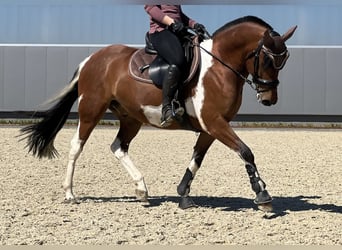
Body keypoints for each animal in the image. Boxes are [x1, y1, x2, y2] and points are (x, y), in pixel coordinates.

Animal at [20, 15, 296, 211]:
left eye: (284, 61)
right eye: (269, 60)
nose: (269, 99)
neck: (219, 65)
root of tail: (92, 59)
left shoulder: (212, 126)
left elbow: (197, 158)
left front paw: (183, 194)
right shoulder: (215, 122)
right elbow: (246, 151)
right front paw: (262, 195)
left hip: (131, 117)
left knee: (118, 147)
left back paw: (142, 190)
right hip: (91, 109)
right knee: (76, 147)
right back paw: (70, 193)